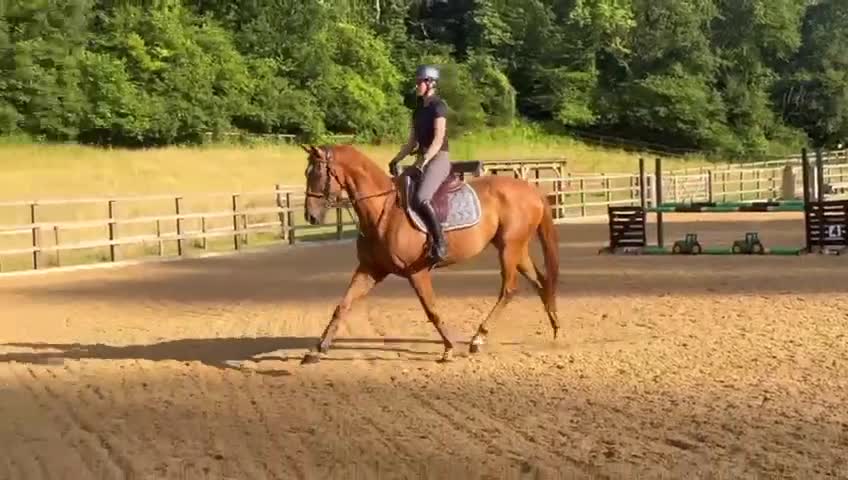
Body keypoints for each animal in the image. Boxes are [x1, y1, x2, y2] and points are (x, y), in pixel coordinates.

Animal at [298, 143, 560, 364]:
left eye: (317, 174)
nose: (310, 216)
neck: (384, 211)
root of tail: (531, 189)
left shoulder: (417, 272)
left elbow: (431, 310)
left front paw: (449, 348)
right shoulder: (370, 269)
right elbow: (342, 306)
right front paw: (317, 350)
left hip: (509, 248)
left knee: (509, 289)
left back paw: (478, 338)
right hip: (516, 248)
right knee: (540, 282)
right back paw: (555, 328)